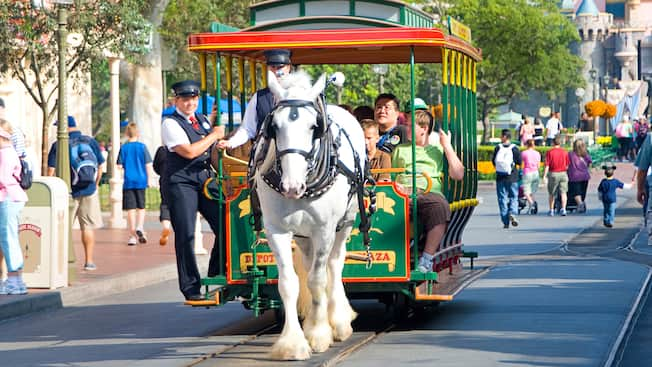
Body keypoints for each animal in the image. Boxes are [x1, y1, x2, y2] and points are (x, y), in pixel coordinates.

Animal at [253, 70, 370, 360]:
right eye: (274, 126)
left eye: (313, 126)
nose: (292, 187)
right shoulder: (277, 230)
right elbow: (289, 283)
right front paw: (293, 343)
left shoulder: (324, 228)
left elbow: (318, 280)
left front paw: (318, 334)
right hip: (303, 234)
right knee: (308, 264)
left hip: (345, 222)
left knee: (334, 264)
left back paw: (338, 321)